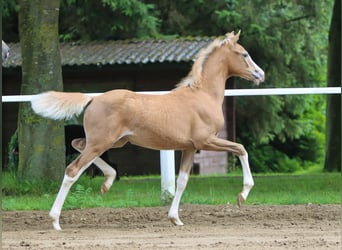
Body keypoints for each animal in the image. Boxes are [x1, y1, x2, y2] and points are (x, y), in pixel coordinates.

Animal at [30, 31, 264, 230]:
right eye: (245, 54)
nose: (260, 74)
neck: (203, 95)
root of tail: (93, 98)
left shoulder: (189, 147)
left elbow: (182, 181)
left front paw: (175, 218)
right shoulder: (205, 141)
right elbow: (241, 148)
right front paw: (242, 195)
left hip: (111, 141)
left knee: (77, 144)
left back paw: (107, 181)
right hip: (102, 142)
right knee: (72, 170)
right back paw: (55, 221)